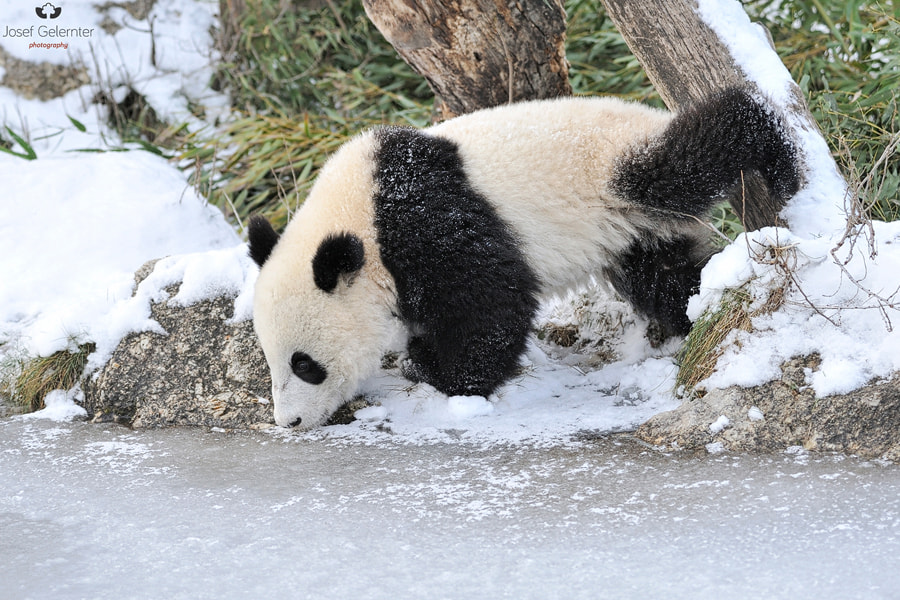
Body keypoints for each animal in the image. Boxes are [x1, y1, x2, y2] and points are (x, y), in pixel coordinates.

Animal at [248, 86, 800, 429]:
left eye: (305, 365)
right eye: (272, 361)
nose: (290, 422)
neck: (361, 218)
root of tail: (647, 113)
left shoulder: (426, 223)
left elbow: (490, 303)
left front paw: (436, 370)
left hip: (618, 166)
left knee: (691, 156)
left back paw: (775, 152)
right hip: (637, 229)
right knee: (668, 275)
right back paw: (698, 312)